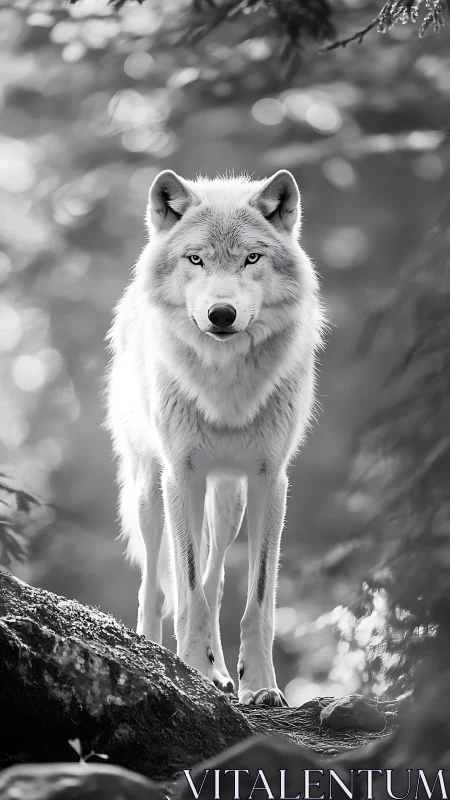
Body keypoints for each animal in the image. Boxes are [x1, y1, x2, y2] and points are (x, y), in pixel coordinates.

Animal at [106, 169, 325, 706]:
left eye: (252, 258)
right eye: (195, 259)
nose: (221, 314)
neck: (225, 385)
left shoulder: (271, 481)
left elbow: (257, 598)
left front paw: (260, 686)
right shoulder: (181, 475)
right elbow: (186, 588)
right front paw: (190, 668)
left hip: (229, 499)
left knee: (218, 576)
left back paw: (223, 673)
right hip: (150, 491)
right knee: (154, 585)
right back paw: (158, 651)